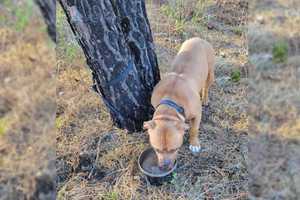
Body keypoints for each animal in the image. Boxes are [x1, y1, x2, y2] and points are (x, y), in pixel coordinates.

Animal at [144, 37, 214, 169]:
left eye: (174, 149)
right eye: (156, 149)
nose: (165, 166)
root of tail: (199, 39)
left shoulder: (197, 114)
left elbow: (194, 129)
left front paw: (194, 144)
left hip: (210, 73)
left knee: (206, 86)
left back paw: (205, 99)